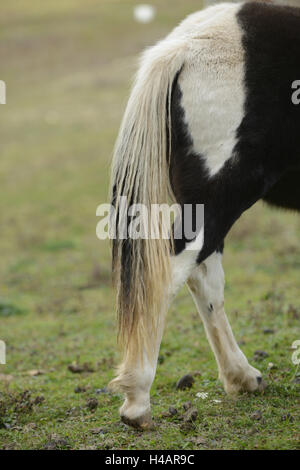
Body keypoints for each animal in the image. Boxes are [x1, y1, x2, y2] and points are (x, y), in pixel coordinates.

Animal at [109, 1, 300, 430]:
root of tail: (188, 45)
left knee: (203, 278)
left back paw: (241, 377)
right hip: (223, 197)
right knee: (170, 274)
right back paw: (137, 399)